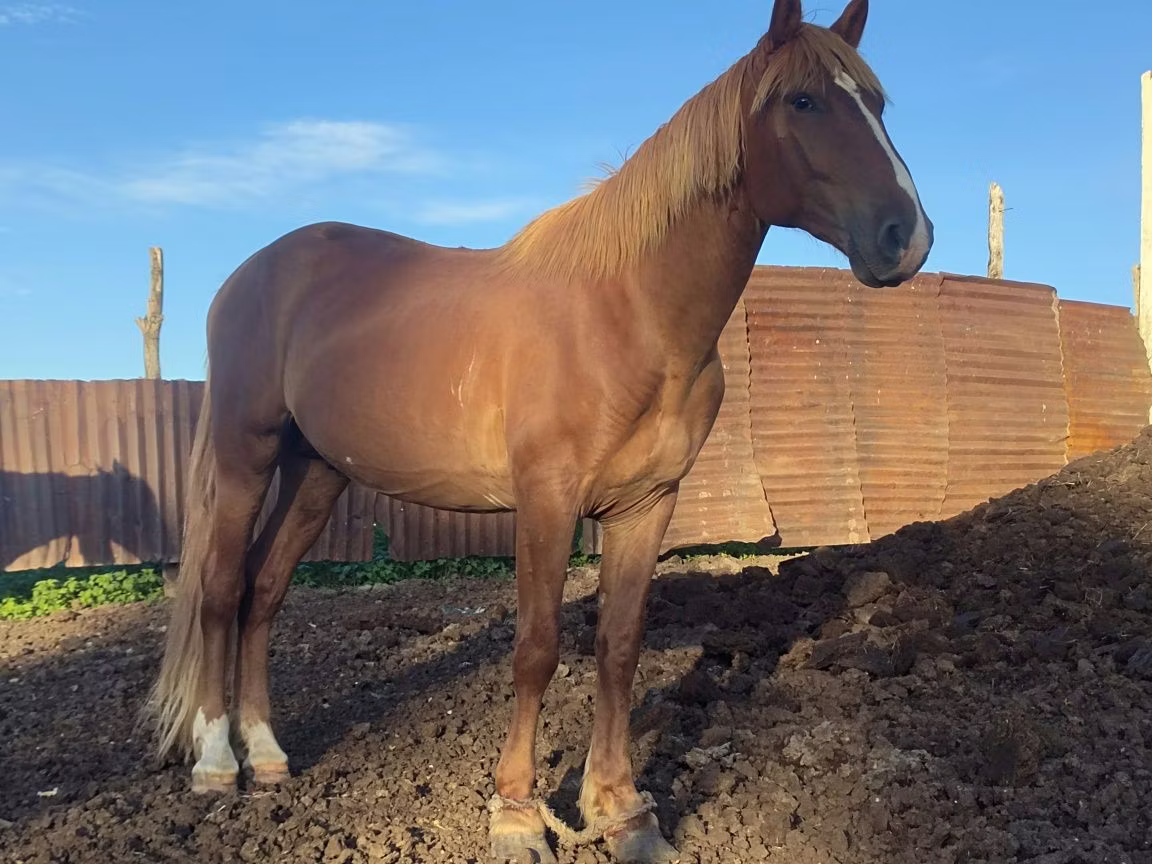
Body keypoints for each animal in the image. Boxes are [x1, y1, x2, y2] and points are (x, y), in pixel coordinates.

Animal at [145, 0, 932, 860]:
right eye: (803, 101)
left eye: (879, 104)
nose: (907, 237)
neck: (626, 314)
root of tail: (251, 273)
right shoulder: (547, 500)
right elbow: (538, 648)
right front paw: (518, 815)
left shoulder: (647, 505)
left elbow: (617, 647)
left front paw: (623, 813)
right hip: (245, 455)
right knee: (221, 589)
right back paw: (217, 763)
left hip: (317, 471)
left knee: (265, 590)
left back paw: (267, 754)